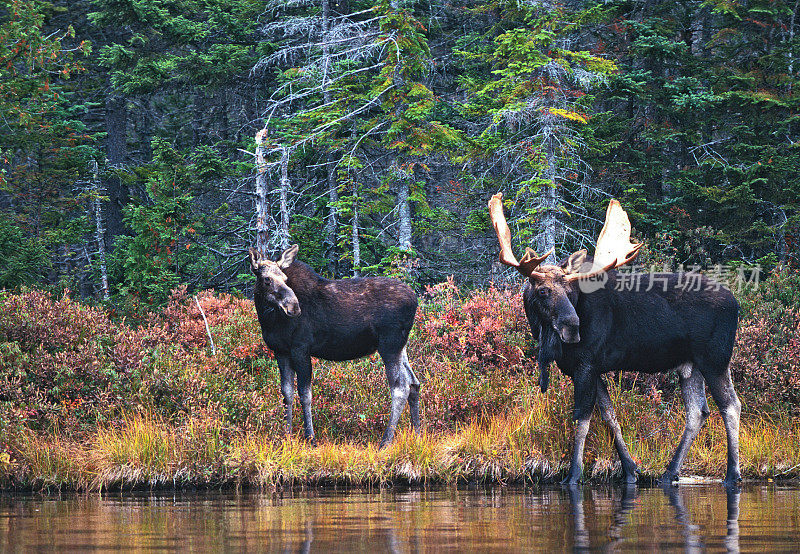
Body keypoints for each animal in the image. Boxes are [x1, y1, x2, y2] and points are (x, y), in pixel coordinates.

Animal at [248, 244, 424, 446]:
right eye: (267, 279)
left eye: (285, 279)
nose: (294, 307)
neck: (268, 319)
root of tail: (415, 300)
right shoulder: (280, 351)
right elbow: (287, 394)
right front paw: (287, 436)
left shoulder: (301, 348)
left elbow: (305, 394)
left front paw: (310, 438)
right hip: (401, 346)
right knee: (414, 382)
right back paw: (417, 434)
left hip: (390, 344)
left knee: (400, 388)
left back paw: (385, 441)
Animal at [488, 193, 744, 484]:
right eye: (542, 290)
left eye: (569, 290)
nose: (573, 326)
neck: (545, 334)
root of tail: (736, 303)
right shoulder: (590, 368)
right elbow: (609, 415)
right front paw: (630, 469)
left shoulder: (586, 364)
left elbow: (582, 419)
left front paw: (574, 474)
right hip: (689, 365)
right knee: (697, 411)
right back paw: (670, 472)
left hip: (715, 359)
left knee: (730, 405)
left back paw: (732, 473)